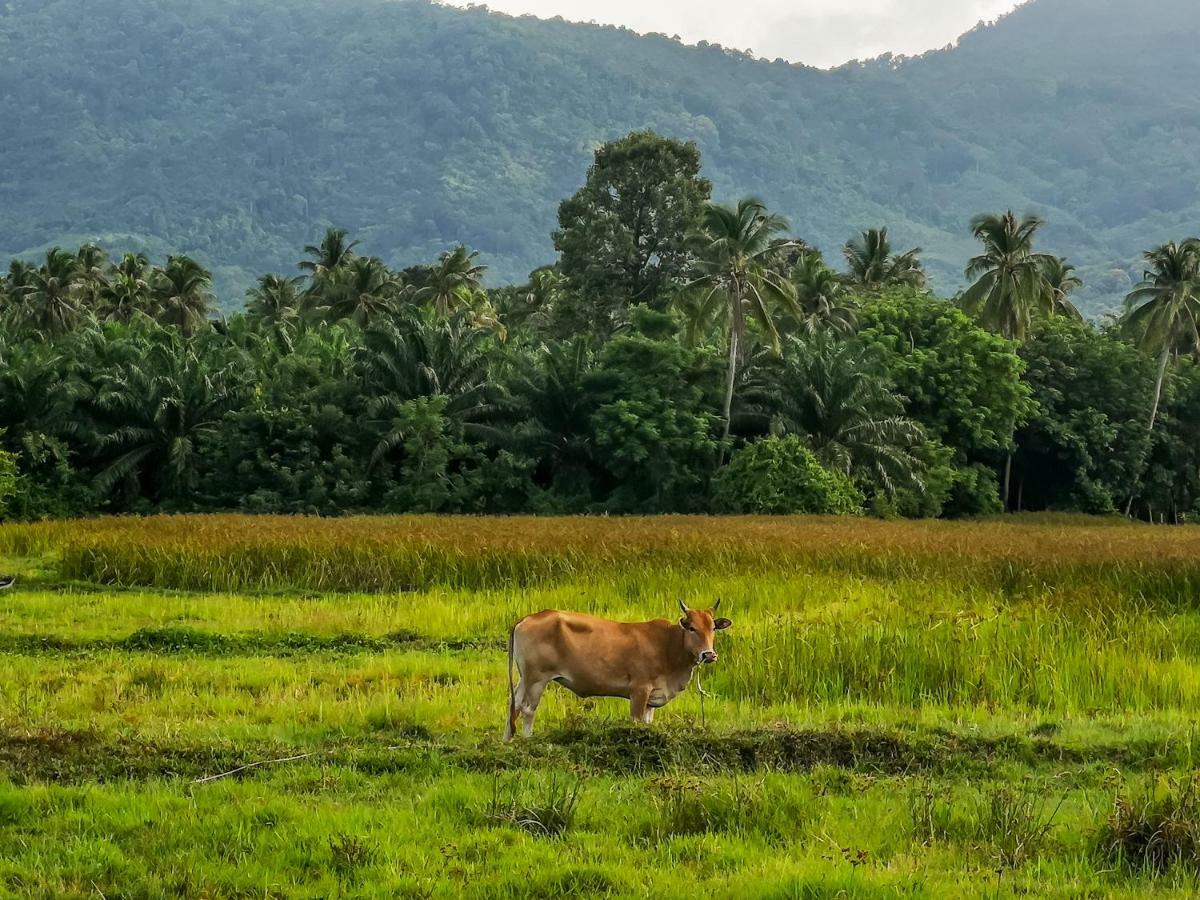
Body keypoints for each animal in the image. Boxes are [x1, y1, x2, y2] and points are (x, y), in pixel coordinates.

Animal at [499, 602, 724, 744]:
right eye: (692, 628)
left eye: (713, 628)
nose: (708, 654)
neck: (668, 645)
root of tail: (527, 618)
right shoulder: (639, 691)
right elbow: (636, 721)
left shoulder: (651, 700)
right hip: (537, 679)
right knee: (528, 710)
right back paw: (528, 742)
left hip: (524, 679)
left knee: (514, 706)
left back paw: (507, 743)